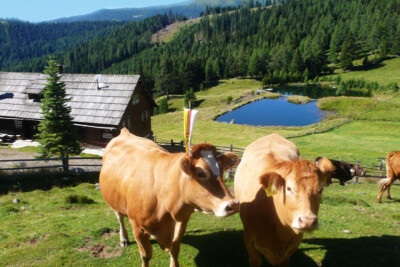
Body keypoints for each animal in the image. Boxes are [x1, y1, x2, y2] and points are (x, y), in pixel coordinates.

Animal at [99, 129, 239, 266]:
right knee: (120, 217)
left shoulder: (181, 222)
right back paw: (124, 239)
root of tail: (125, 131)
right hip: (115, 201)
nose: (233, 204)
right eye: (201, 173)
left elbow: (174, 250)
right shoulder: (137, 227)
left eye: (222, 170)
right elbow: (145, 256)